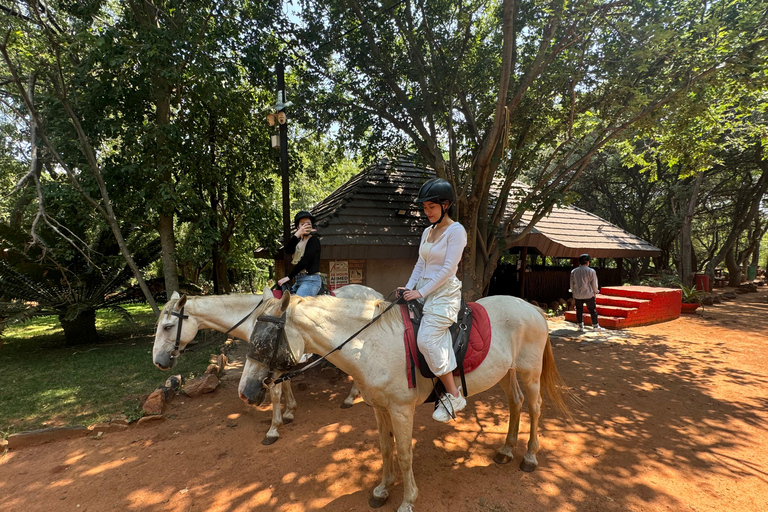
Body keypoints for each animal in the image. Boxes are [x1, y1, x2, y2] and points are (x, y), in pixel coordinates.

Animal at [153, 284, 384, 444]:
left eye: (168, 326)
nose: (158, 362)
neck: (254, 317)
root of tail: (376, 294)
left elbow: (275, 393)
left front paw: (274, 428)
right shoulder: (278, 361)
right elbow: (285, 385)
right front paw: (290, 411)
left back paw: (350, 398)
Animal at [240, 292, 568, 512]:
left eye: (265, 341)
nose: (246, 391)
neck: (369, 345)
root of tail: (530, 307)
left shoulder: (400, 409)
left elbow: (405, 454)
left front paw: (408, 500)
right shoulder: (379, 408)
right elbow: (386, 449)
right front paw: (382, 489)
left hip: (529, 371)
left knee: (534, 408)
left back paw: (529, 457)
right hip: (506, 372)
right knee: (515, 403)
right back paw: (506, 450)